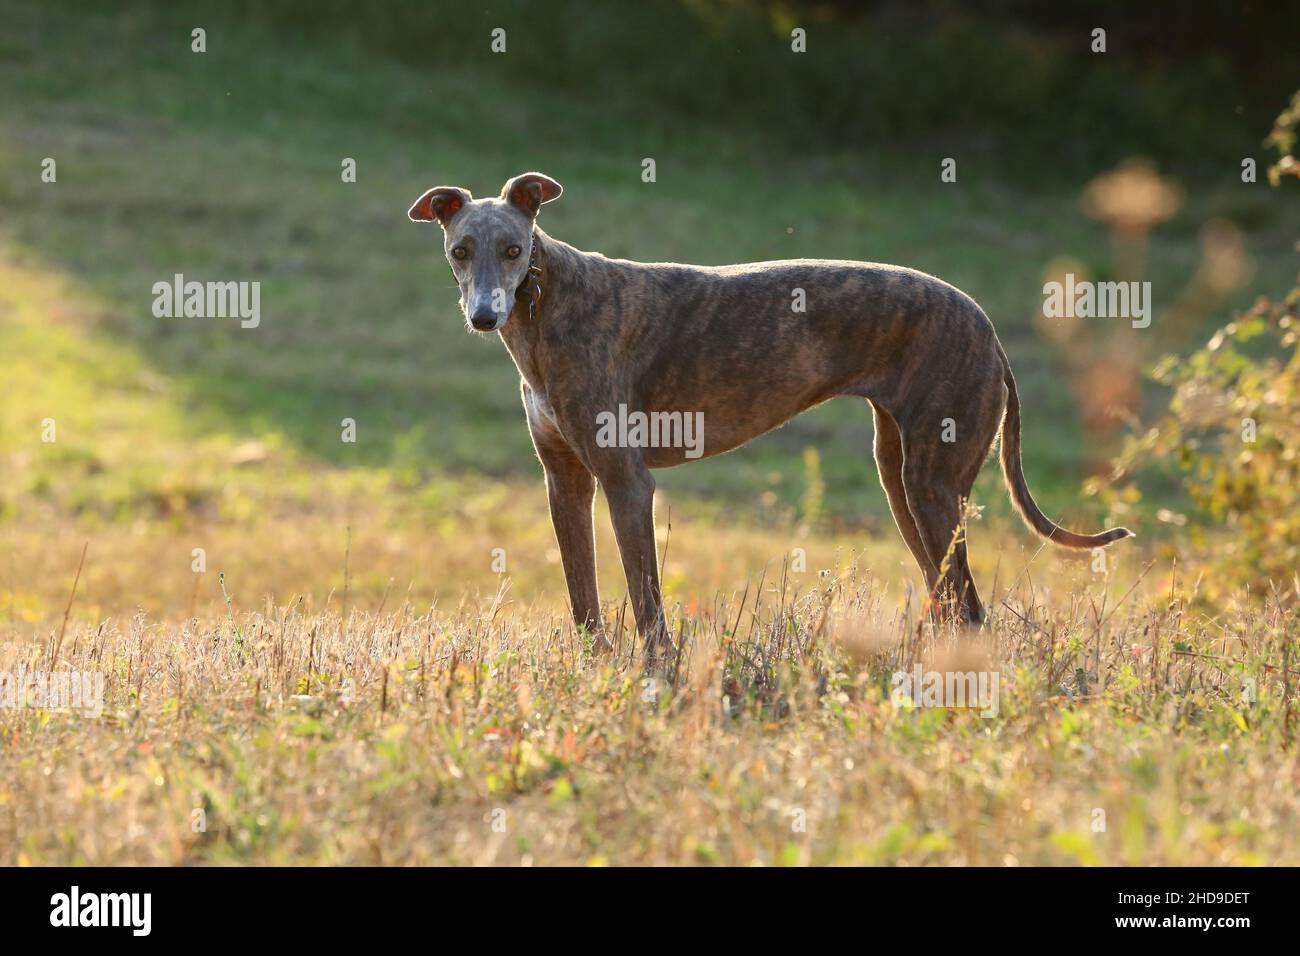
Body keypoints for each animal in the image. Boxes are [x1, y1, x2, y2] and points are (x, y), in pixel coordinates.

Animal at [410, 171, 1133, 665]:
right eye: (460, 249)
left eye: (512, 248)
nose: (484, 316)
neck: (548, 303)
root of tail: (989, 330)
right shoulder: (564, 481)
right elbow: (581, 594)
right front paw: (594, 668)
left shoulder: (626, 481)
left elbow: (646, 599)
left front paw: (656, 675)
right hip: (901, 478)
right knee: (951, 599)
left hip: (932, 484)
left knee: (970, 607)